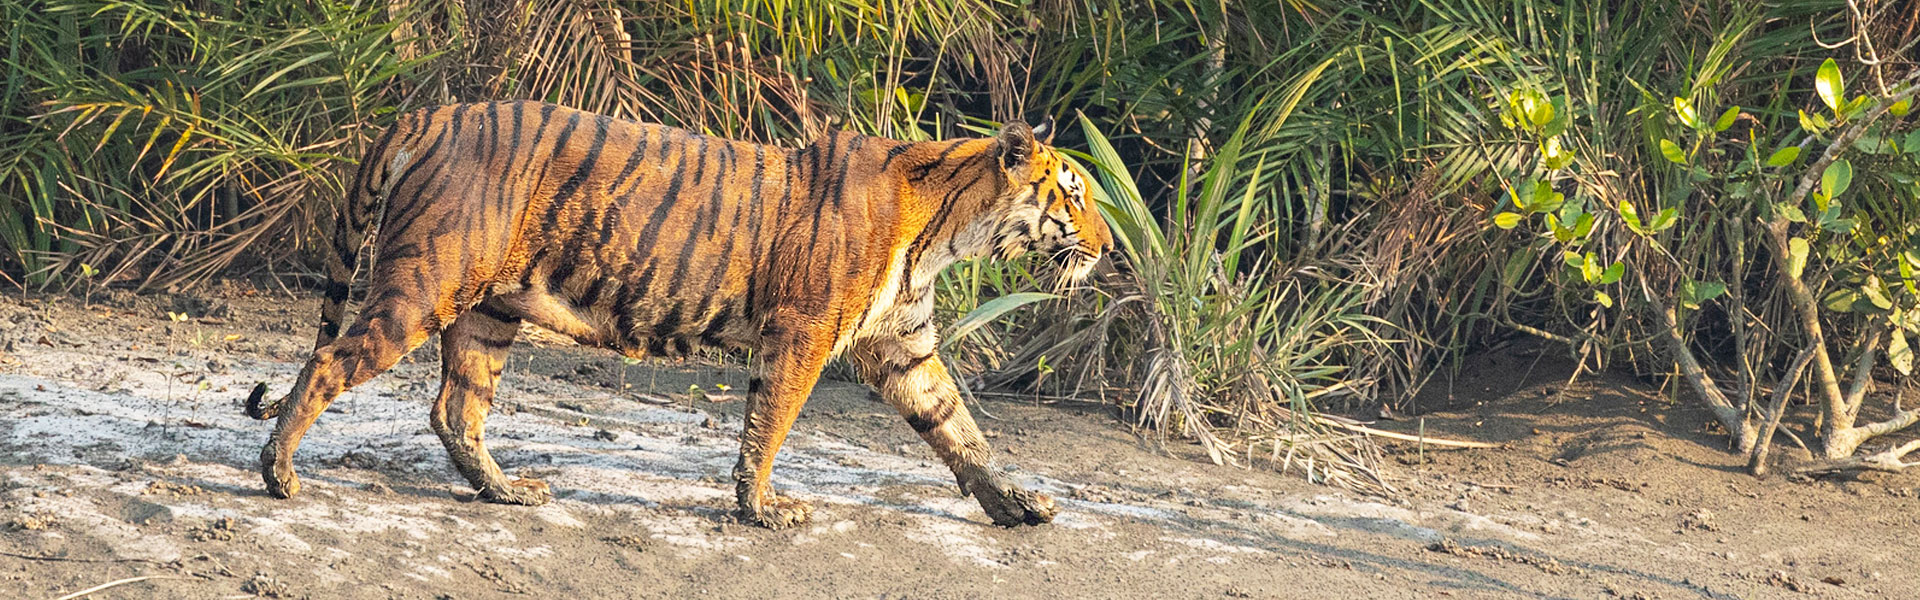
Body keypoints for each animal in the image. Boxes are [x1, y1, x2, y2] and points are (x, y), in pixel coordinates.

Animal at [240, 100, 1113, 526]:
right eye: (1073, 195)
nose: (1109, 247)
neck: (948, 229)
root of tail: (427, 114)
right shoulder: (802, 335)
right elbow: (769, 427)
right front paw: (762, 510)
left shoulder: (905, 347)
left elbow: (961, 430)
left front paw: (1014, 505)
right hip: (424, 285)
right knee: (328, 362)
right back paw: (279, 475)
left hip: (488, 312)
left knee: (455, 408)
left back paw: (508, 493)